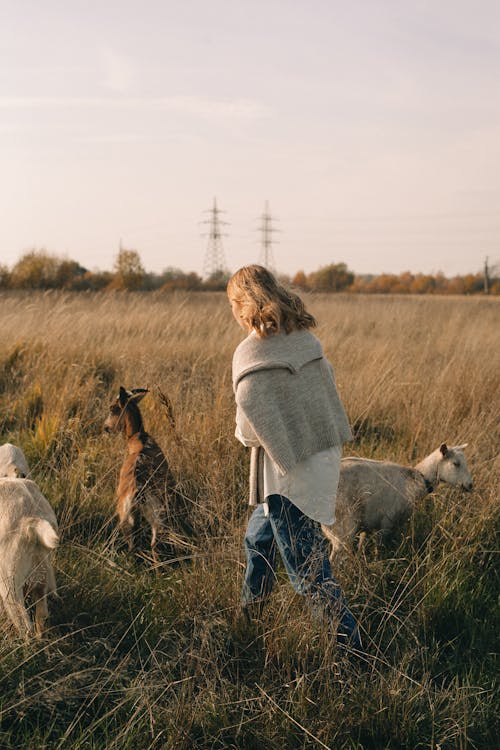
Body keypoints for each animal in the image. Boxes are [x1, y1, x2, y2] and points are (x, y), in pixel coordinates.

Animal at [103, 388, 184, 564]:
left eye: (112, 408)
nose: (106, 428)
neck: (139, 440)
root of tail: (137, 491)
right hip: (155, 514)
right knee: (153, 543)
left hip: (127, 518)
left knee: (136, 544)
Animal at [324, 444, 472, 556]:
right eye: (456, 464)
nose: (470, 485)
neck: (418, 479)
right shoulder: (386, 524)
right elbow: (379, 549)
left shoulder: (368, 525)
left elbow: (362, 545)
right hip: (343, 525)